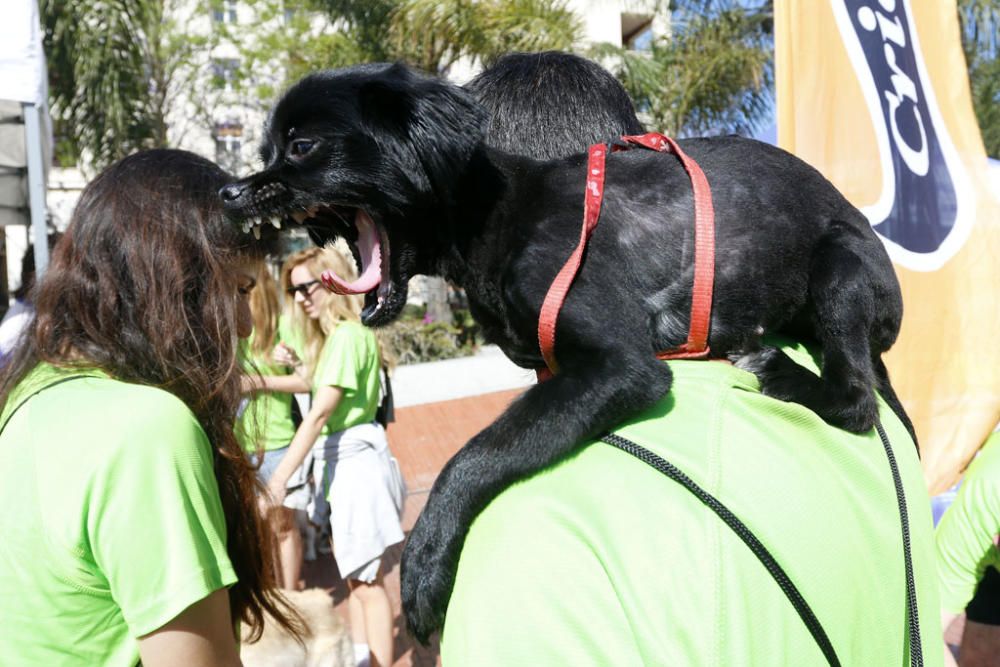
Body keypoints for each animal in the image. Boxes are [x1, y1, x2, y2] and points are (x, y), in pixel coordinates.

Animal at [223, 62, 912, 640]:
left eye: (302, 146)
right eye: (265, 150)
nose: (231, 195)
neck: (493, 211)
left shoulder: (619, 366)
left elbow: (477, 453)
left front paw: (424, 562)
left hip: (840, 268)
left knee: (856, 398)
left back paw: (777, 367)